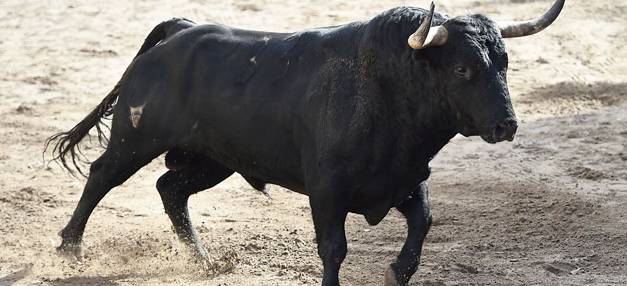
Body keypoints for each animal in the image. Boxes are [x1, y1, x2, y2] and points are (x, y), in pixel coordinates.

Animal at [44, 1, 564, 284]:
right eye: (462, 69)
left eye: (505, 63)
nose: (506, 125)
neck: (387, 88)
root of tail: (180, 28)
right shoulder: (327, 191)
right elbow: (333, 248)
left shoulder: (407, 179)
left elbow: (424, 224)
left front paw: (397, 272)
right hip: (137, 138)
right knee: (102, 177)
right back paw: (69, 248)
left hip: (214, 159)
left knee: (170, 189)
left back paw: (205, 261)